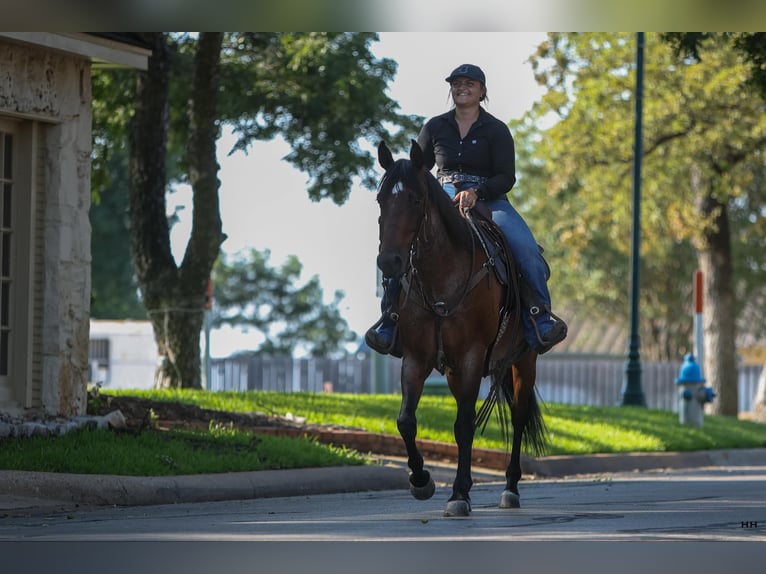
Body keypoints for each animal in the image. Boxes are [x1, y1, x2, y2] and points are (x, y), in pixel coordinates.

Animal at [374, 139, 547, 517]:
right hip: (455, 370)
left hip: (524, 360)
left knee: (519, 417)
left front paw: (458, 494)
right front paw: (421, 481)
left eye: (416, 200)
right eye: (380, 199)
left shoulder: (471, 356)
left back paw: (511, 488)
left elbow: (465, 425)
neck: (442, 276)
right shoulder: (416, 358)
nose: (389, 262)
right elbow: (406, 420)